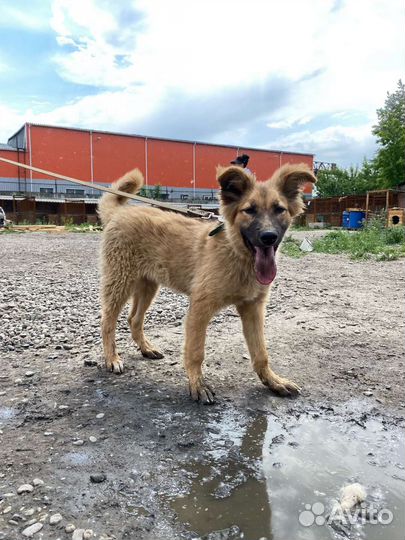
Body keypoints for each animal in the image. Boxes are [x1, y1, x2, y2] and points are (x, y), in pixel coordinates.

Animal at [98, 165, 316, 400]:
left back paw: (146, 348)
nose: (269, 237)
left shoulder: (253, 309)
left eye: (279, 209)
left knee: (134, 319)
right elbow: (196, 352)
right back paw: (112, 358)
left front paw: (273, 381)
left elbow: (261, 352)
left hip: (148, 284)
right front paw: (197, 385)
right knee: (108, 321)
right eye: (249, 210)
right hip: (120, 281)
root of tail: (119, 213)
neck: (236, 253)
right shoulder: (200, 308)